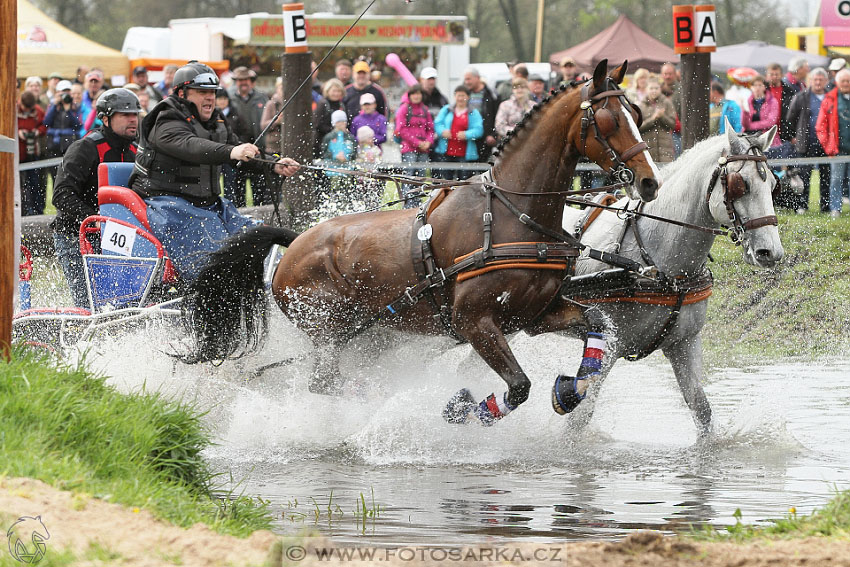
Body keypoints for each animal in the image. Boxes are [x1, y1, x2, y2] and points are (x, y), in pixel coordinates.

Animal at [182, 61, 660, 426]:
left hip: (370, 334)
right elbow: (519, 387)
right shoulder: (475, 323)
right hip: (330, 330)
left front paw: (570, 391)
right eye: (609, 120)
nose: (650, 181)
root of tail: (295, 241)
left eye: (637, 112)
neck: (512, 216)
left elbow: (597, 323)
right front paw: (464, 409)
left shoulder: (534, 315)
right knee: (325, 384)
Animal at [556, 120, 780, 432]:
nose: (770, 251)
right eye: (740, 184)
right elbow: (579, 418)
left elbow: (702, 410)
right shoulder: (607, 346)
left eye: (772, 184)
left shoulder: (684, 344)